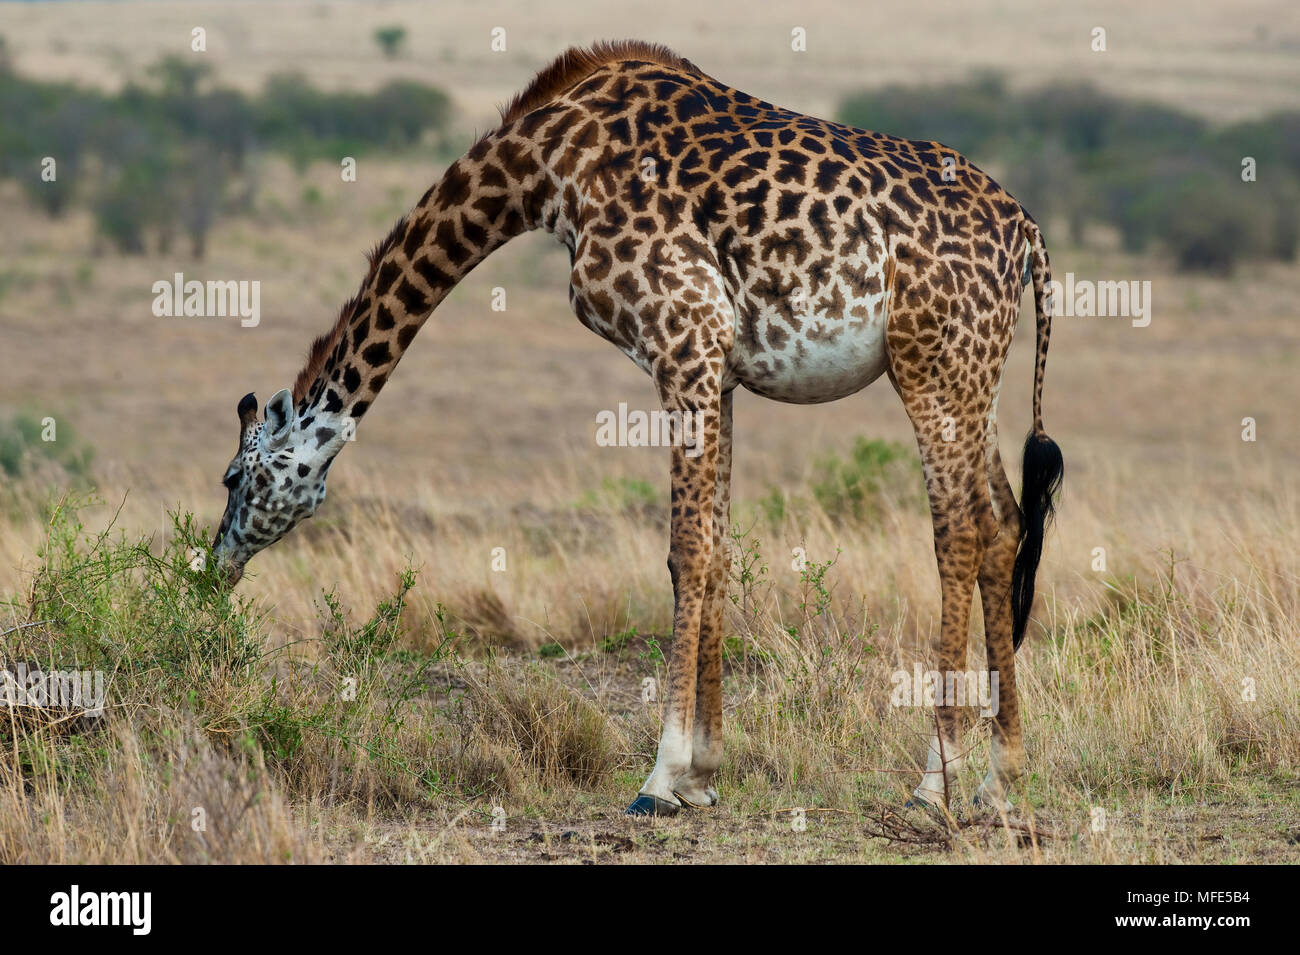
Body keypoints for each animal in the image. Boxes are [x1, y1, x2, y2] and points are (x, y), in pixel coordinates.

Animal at [213, 41, 1060, 815]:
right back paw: (1003, 779)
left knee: (959, 531)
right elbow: (718, 549)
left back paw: (935, 783)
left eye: (232, 476)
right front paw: (704, 775)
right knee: (1006, 525)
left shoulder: (683, 336)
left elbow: (686, 552)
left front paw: (660, 777)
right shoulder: (719, 365)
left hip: (932, 364)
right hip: (975, 375)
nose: (215, 563)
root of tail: (1027, 233)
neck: (546, 166)